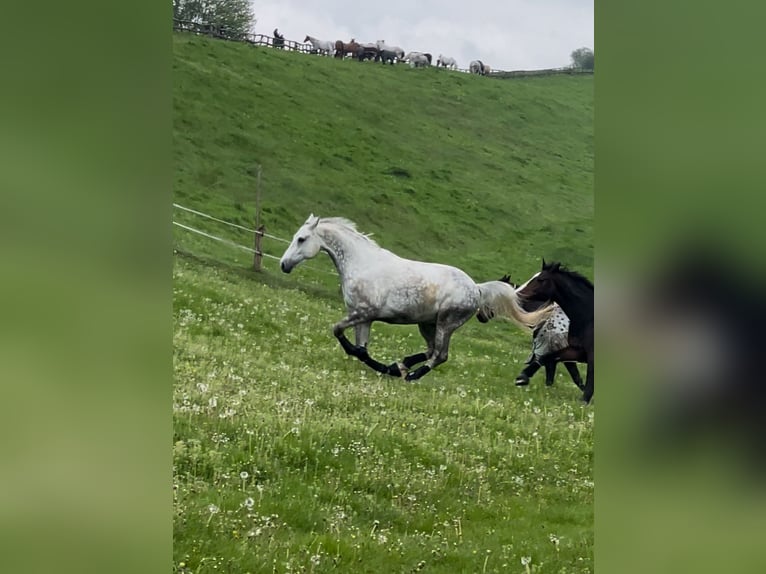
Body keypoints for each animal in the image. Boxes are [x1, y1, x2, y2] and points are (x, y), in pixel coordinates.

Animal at [280, 216, 552, 382]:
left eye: (301, 239)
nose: (284, 265)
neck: (363, 265)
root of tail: (476, 288)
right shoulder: (363, 318)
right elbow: (360, 348)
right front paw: (387, 367)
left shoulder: (363, 314)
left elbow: (339, 332)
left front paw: (385, 368)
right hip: (427, 323)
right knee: (431, 351)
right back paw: (402, 365)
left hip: (446, 323)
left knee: (440, 355)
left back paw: (411, 375)